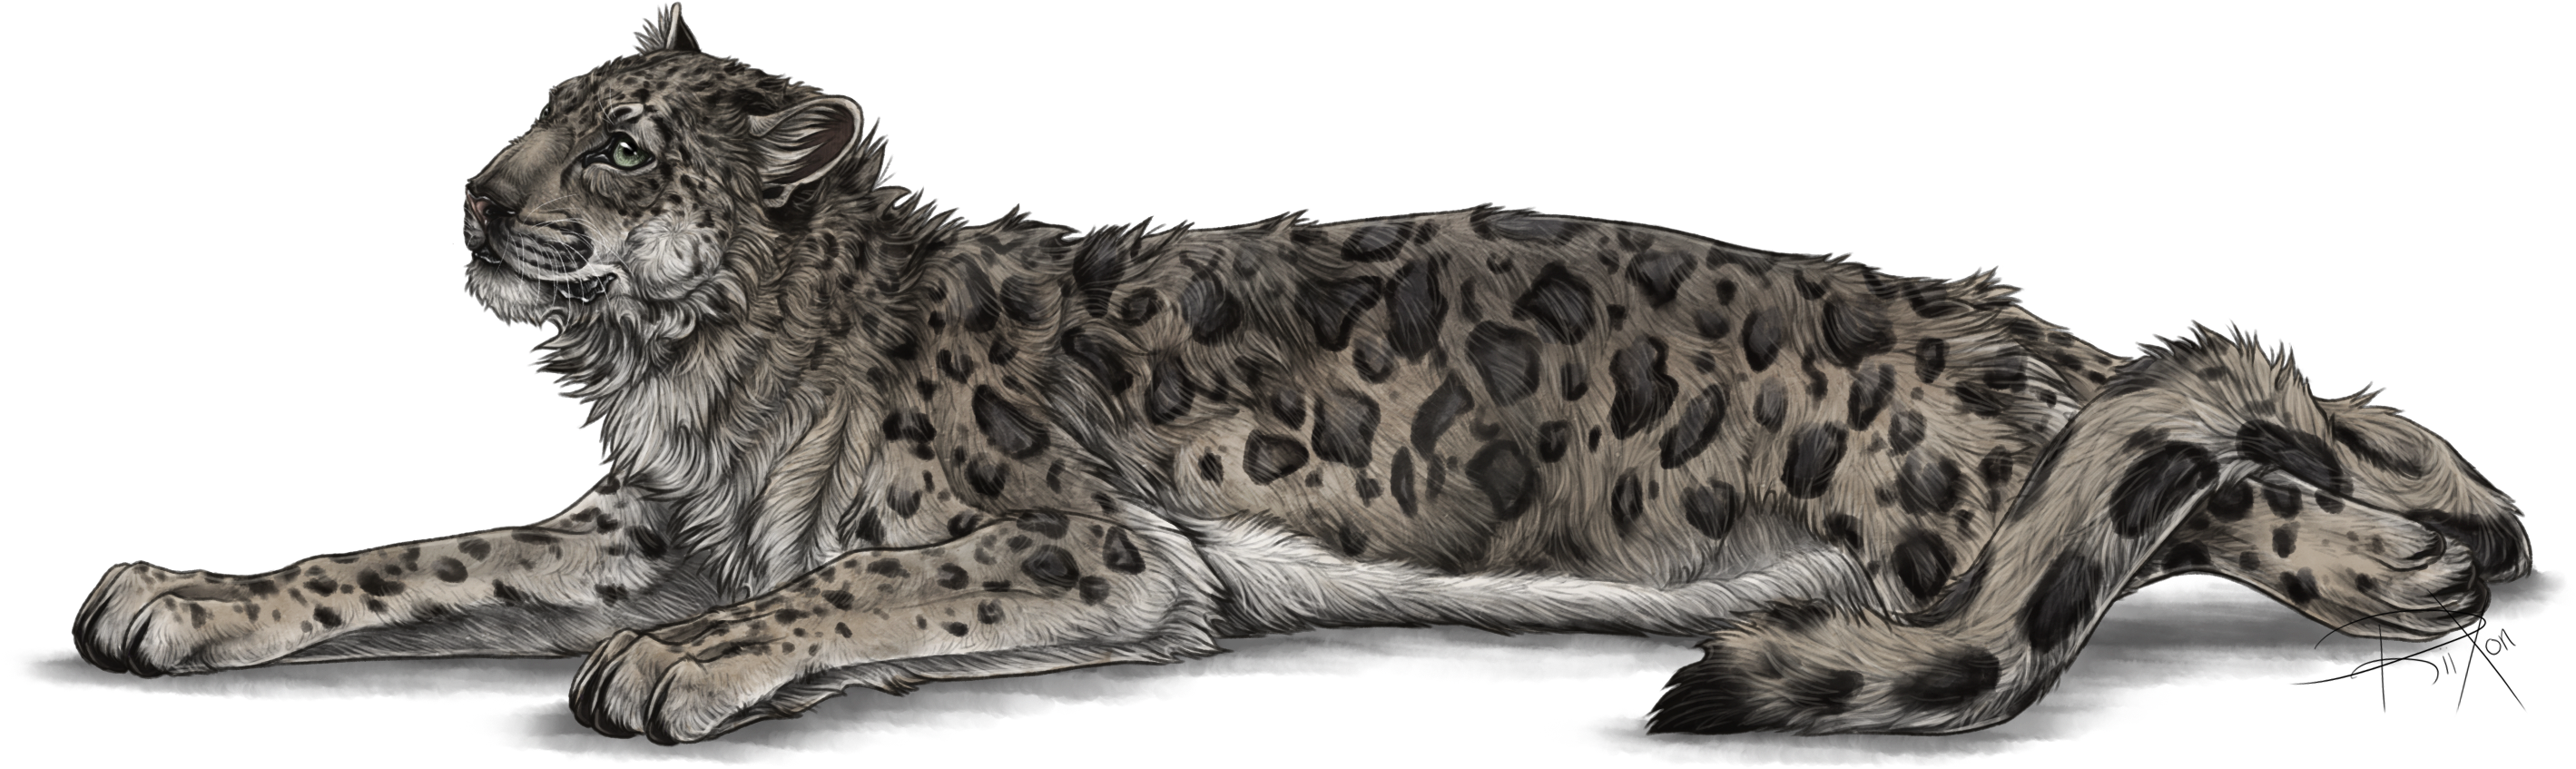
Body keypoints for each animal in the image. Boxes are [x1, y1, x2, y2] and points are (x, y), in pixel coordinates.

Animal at [76, 4, 2532, 743]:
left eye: (620, 144)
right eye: (540, 109)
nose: (473, 203)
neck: (691, 376)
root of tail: (2016, 327)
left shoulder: (1069, 543)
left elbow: (848, 586)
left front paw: (680, 675)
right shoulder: (639, 524)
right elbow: (405, 554)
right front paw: (180, 599)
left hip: (1983, 495)